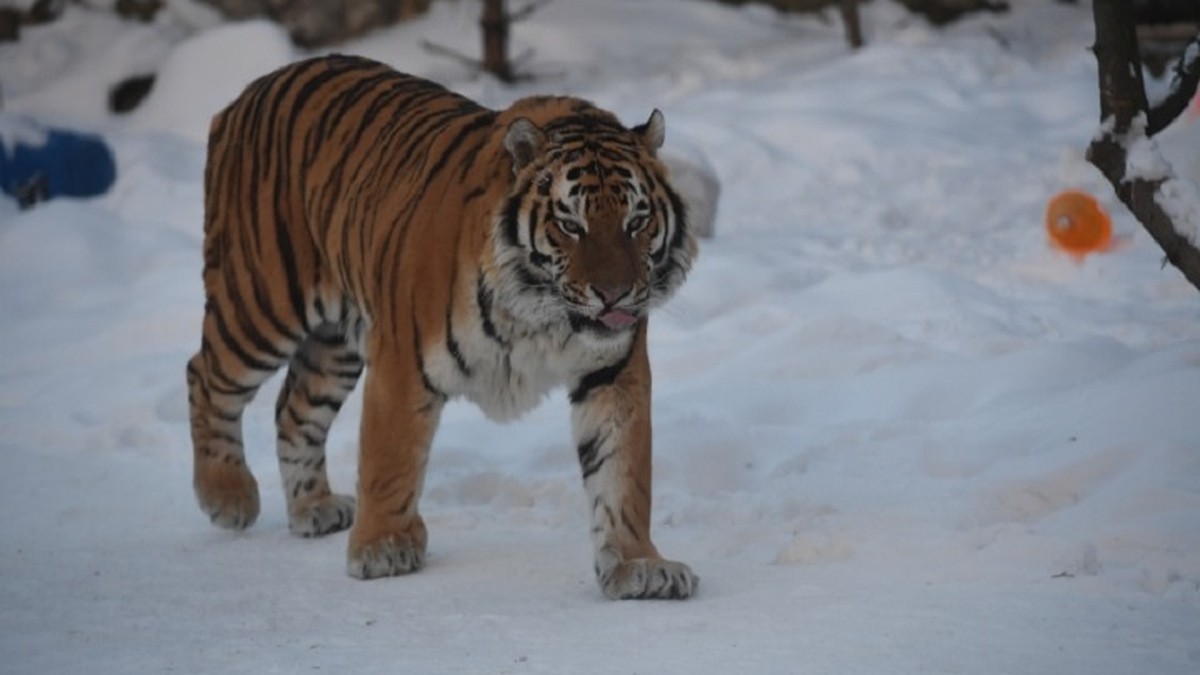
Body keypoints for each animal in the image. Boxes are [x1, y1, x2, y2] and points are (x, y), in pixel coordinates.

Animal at [183, 53, 700, 598]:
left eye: (636, 222)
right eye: (570, 225)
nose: (614, 294)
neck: (543, 315)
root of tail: (247, 93)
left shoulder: (613, 373)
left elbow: (623, 474)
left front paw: (638, 564)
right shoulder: (401, 361)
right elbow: (390, 460)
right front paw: (383, 547)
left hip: (335, 342)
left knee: (293, 407)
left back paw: (313, 508)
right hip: (261, 302)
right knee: (205, 374)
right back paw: (227, 496)